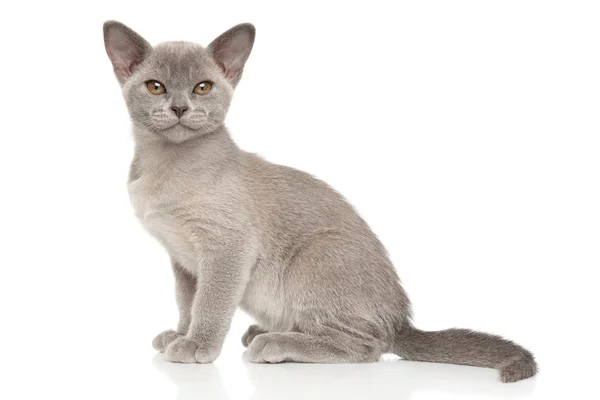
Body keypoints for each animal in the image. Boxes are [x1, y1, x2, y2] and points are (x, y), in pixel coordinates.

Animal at [104, 20, 540, 382]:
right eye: (156, 86)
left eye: (203, 87)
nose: (180, 107)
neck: (164, 165)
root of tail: (401, 321)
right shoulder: (182, 258)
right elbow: (187, 302)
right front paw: (179, 335)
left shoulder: (226, 249)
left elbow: (210, 304)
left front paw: (197, 346)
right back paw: (265, 331)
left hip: (316, 255)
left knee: (368, 346)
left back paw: (273, 343)